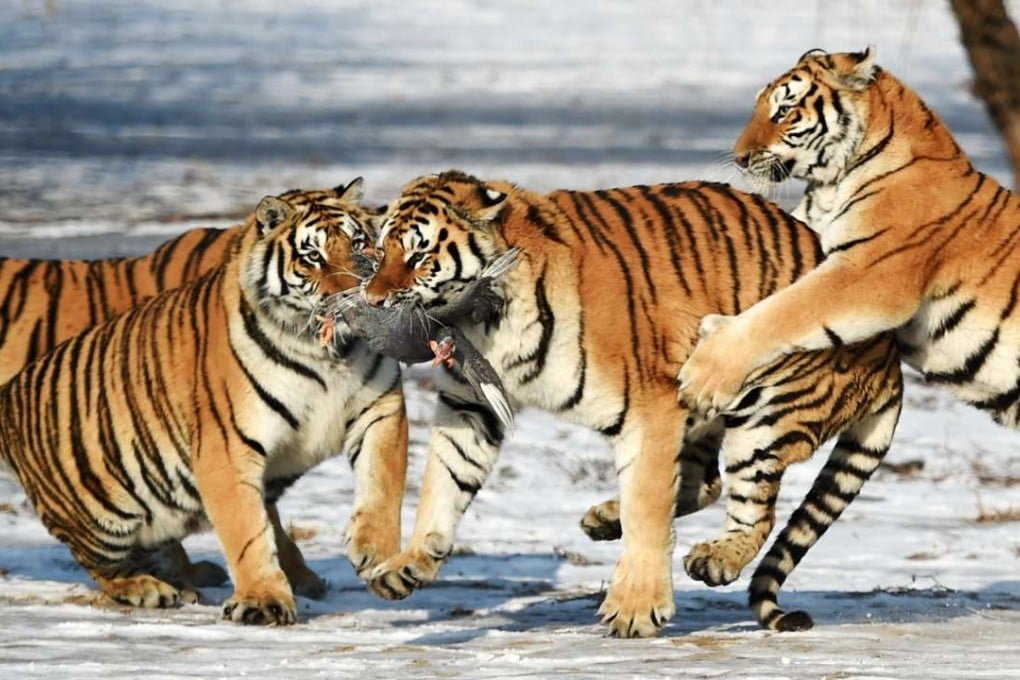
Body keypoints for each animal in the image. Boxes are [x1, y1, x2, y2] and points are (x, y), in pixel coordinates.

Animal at [0, 181, 408, 624]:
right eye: (312, 257)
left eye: (359, 244)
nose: (353, 300)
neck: (326, 355)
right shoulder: (227, 444)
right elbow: (249, 528)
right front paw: (265, 598)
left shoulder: (380, 409)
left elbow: (383, 482)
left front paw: (375, 554)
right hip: (103, 508)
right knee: (101, 563)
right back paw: (147, 588)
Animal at [356, 169, 903, 635]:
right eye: (380, 253)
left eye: (419, 256)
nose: (372, 300)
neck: (489, 322)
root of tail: (891, 356)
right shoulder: (473, 404)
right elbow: (444, 478)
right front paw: (409, 565)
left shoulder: (651, 407)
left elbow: (648, 503)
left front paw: (636, 609)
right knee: (705, 484)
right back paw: (604, 518)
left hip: (762, 412)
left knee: (753, 509)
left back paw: (714, 559)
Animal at [679, 47, 1020, 449]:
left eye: (784, 111)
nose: (740, 158)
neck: (831, 185)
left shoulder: (869, 273)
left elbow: (785, 312)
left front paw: (703, 376)